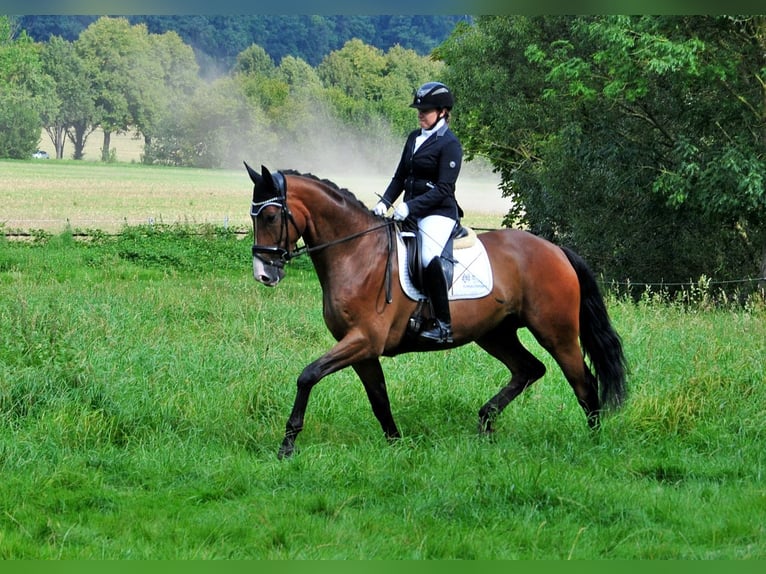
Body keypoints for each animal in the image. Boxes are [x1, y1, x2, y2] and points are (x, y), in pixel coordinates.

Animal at [246, 163, 632, 460]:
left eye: (270, 215)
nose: (264, 274)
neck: (356, 253)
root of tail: (555, 249)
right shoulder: (363, 349)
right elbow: (379, 398)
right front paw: (396, 445)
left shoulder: (364, 340)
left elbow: (308, 375)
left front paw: (287, 445)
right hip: (495, 333)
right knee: (529, 369)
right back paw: (485, 423)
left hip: (556, 332)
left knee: (584, 383)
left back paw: (592, 443)